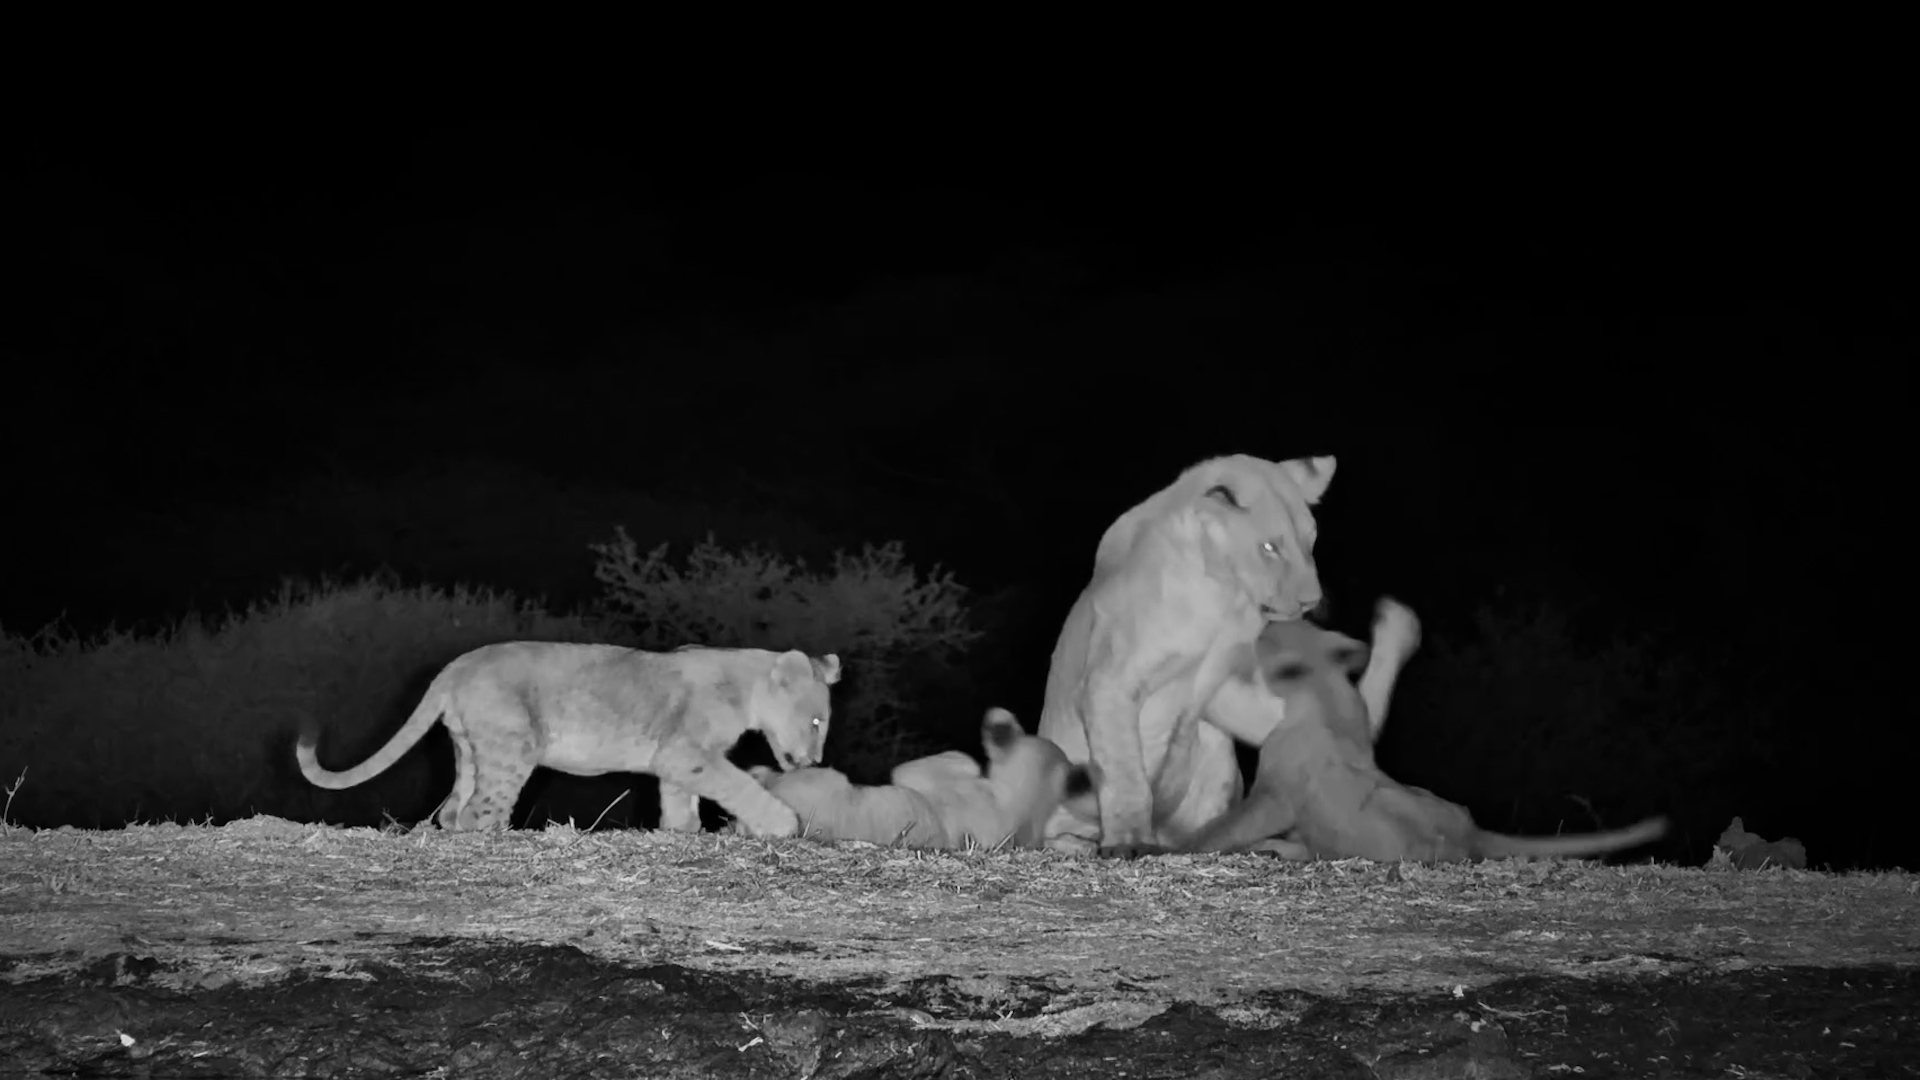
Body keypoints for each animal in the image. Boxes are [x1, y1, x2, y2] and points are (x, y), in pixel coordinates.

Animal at [296, 642, 841, 835]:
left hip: (471, 748)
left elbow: (679, 800)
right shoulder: (688, 751)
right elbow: (740, 786)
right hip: (514, 745)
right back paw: (504, 835)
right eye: (816, 722)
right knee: (478, 811)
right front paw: (783, 824)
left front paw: (681, 833)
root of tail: (454, 666)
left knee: (452, 809)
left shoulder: (676, 758)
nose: (815, 762)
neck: (747, 685)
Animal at [1035, 453, 1338, 857]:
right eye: (1270, 548)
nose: (1311, 600)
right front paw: (1128, 840)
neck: (1225, 598)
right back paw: (1076, 843)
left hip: (1215, 748)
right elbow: (1124, 769)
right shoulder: (1110, 679)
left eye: (1310, 542)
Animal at [1186, 601, 1670, 863]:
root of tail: (1474, 834)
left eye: (1265, 634)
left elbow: (1221, 830)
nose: (1259, 620)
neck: (1323, 690)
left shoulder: (1274, 792)